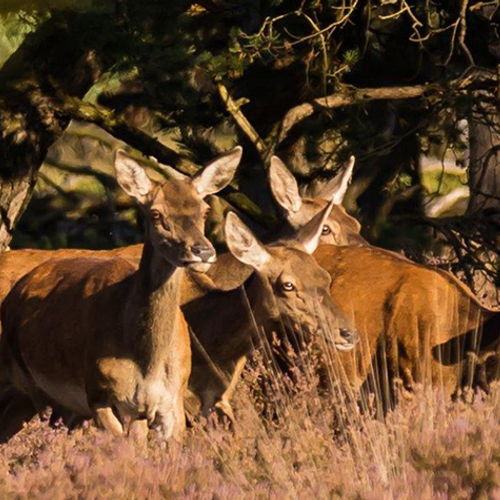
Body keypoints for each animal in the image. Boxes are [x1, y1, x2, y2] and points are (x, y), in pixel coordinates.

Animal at [0, 145, 242, 442]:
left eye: (205, 211)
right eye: (156, 214)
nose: (203, 251)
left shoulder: (172, 402)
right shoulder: (99, 394)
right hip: (31, 386)